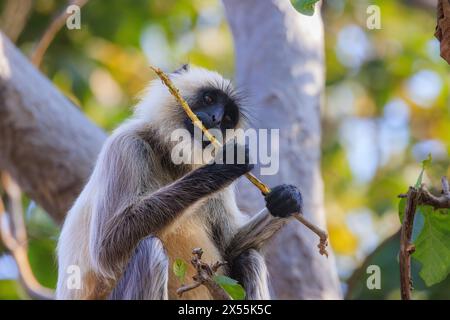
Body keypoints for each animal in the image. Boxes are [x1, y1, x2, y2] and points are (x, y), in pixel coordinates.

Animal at [56, 63, 302, 298]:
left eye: (228, 118)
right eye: (209, 99)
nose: (216, 119)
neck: (170, 157)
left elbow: (231, 248)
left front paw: (287, 199)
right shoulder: (126, 144)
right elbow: (105, 249)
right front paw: (224, 166)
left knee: (249, 257)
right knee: (149, 250)